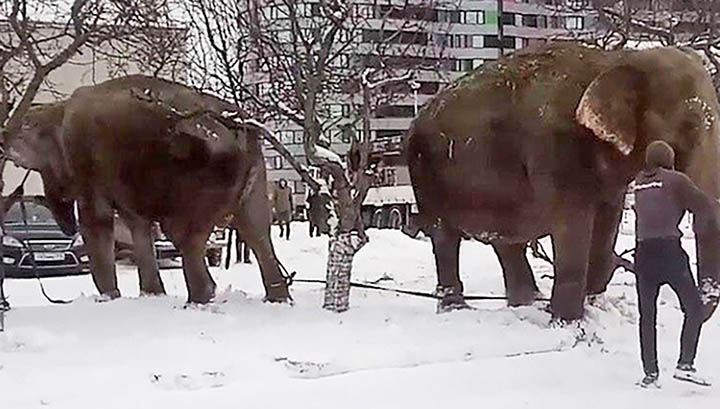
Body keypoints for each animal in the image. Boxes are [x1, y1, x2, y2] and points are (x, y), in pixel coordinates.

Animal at [3, 75, 290, 302]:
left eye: (26, 131)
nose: (4, 136)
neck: (59, 110)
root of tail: (237, 123)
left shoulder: (86, 163)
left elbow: (97, 222)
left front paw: (109, 298)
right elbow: (137, 225)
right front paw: (151, 294)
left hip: (202, 173)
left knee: (186, 235)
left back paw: (198, 300)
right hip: (254, 172)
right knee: (257, 231)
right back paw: (277, 299)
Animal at [404, 43, 720, 320]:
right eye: (690, 126)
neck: (616, 60)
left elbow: (607, 222)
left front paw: (592, 306)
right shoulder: (555, 149)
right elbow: (573, 222)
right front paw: (567, 322)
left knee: (507, 239)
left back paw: (527, 304)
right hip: (425, 172)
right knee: (444, 237)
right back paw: (457, 309)